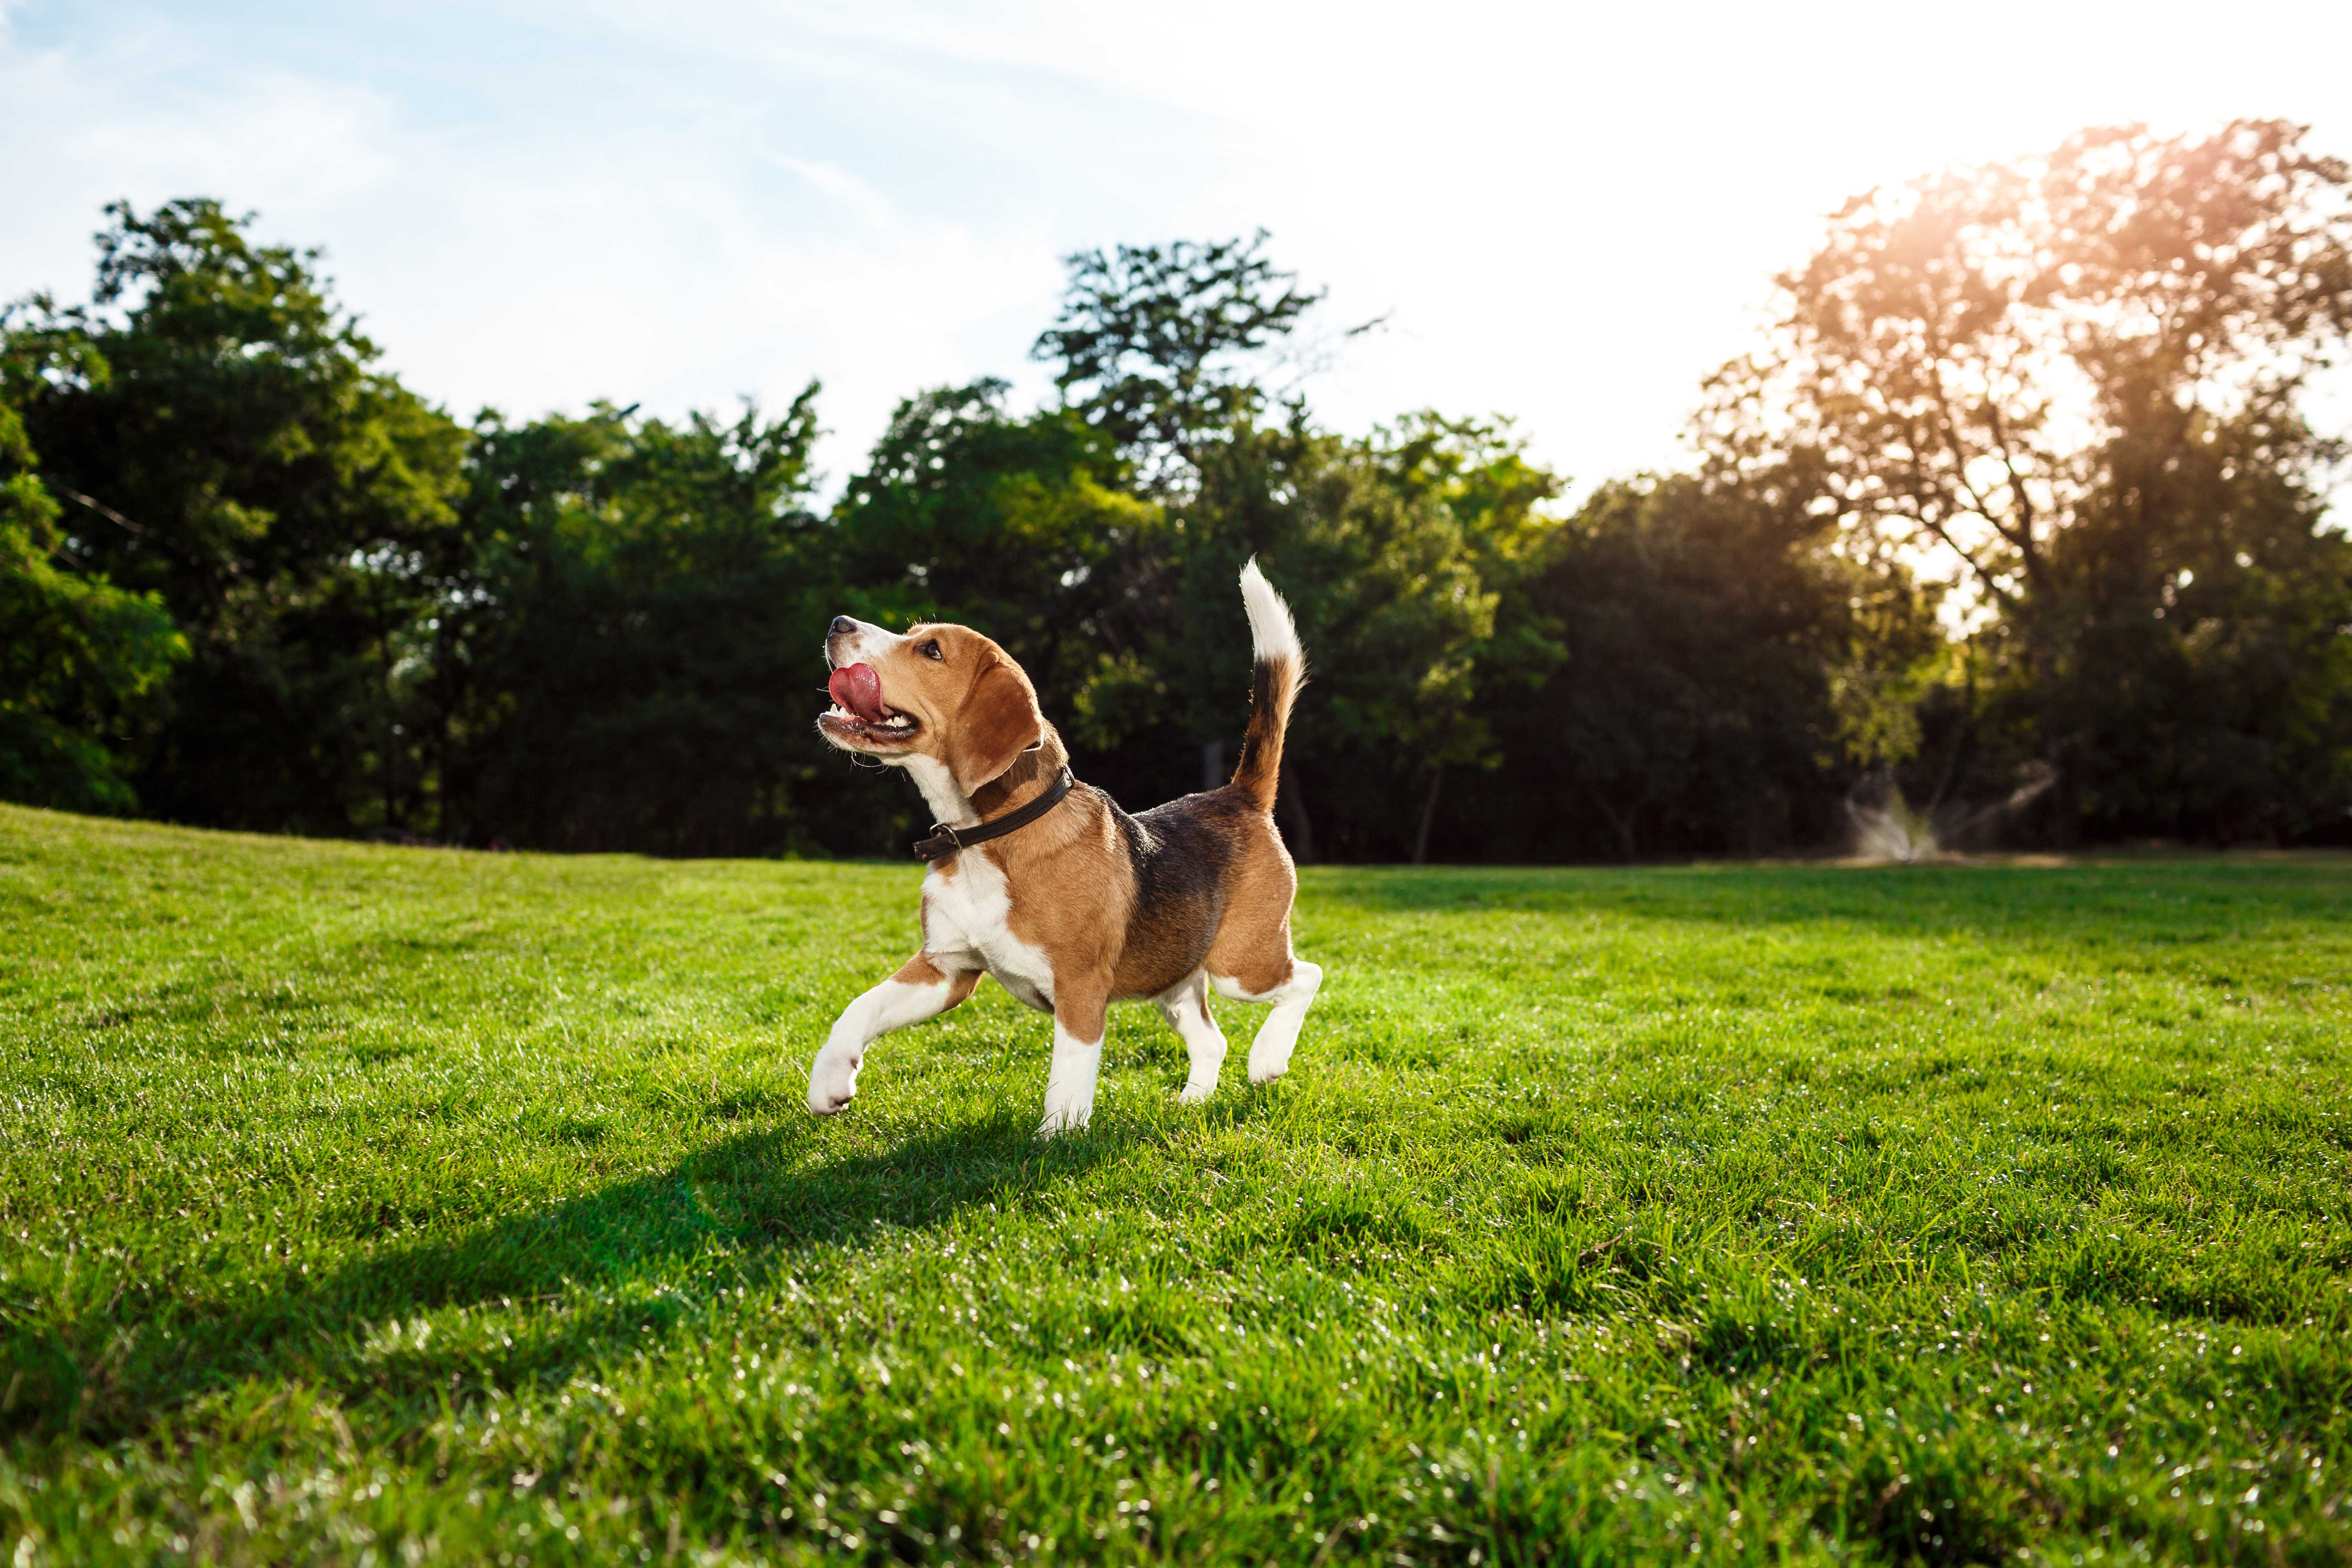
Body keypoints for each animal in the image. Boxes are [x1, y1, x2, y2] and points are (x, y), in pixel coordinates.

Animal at [809, 557, 1326, 1133]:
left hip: (1242, 965)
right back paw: (1192, 1103)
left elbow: (1068, 1080)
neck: (986, 840)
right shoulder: (946, 969)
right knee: (1212, 1040)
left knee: (1308, 977)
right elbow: (859, 1008)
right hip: (1174, 979)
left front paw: (1056, 1140)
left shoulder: (1080, 989)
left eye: (931, 651)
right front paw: (830, 1082)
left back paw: (1269, 1058)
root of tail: (1238, 795)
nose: (837, 623)